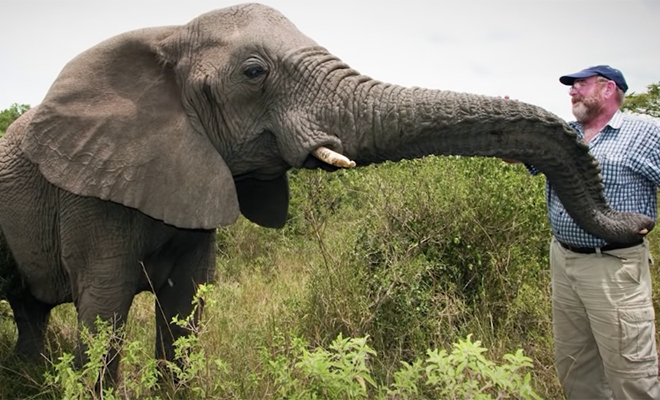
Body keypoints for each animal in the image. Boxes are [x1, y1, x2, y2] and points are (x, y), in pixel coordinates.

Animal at [0, 2, 648, 382]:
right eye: (254, 72)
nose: (641, 225)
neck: (165, 36)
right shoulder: (88, 196)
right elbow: (104, 316)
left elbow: (186, 311)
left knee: (29, 311)